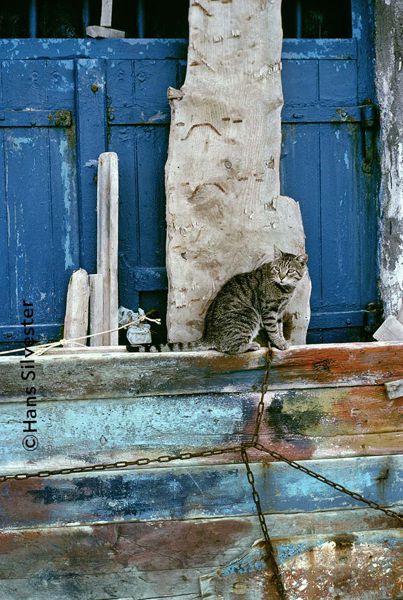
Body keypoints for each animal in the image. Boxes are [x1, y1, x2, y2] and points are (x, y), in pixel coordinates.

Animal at [128, 247, 308, 354]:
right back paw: (250, 345)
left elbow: (279, 327)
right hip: (249, 315)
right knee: (229, 348)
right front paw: (280, 343)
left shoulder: (280, 311)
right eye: (277, 269)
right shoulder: (269, 310)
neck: (284, 289)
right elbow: (273, 329)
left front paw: (282, 340)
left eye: (290, 271)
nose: (281, 277)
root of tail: (209, 336)